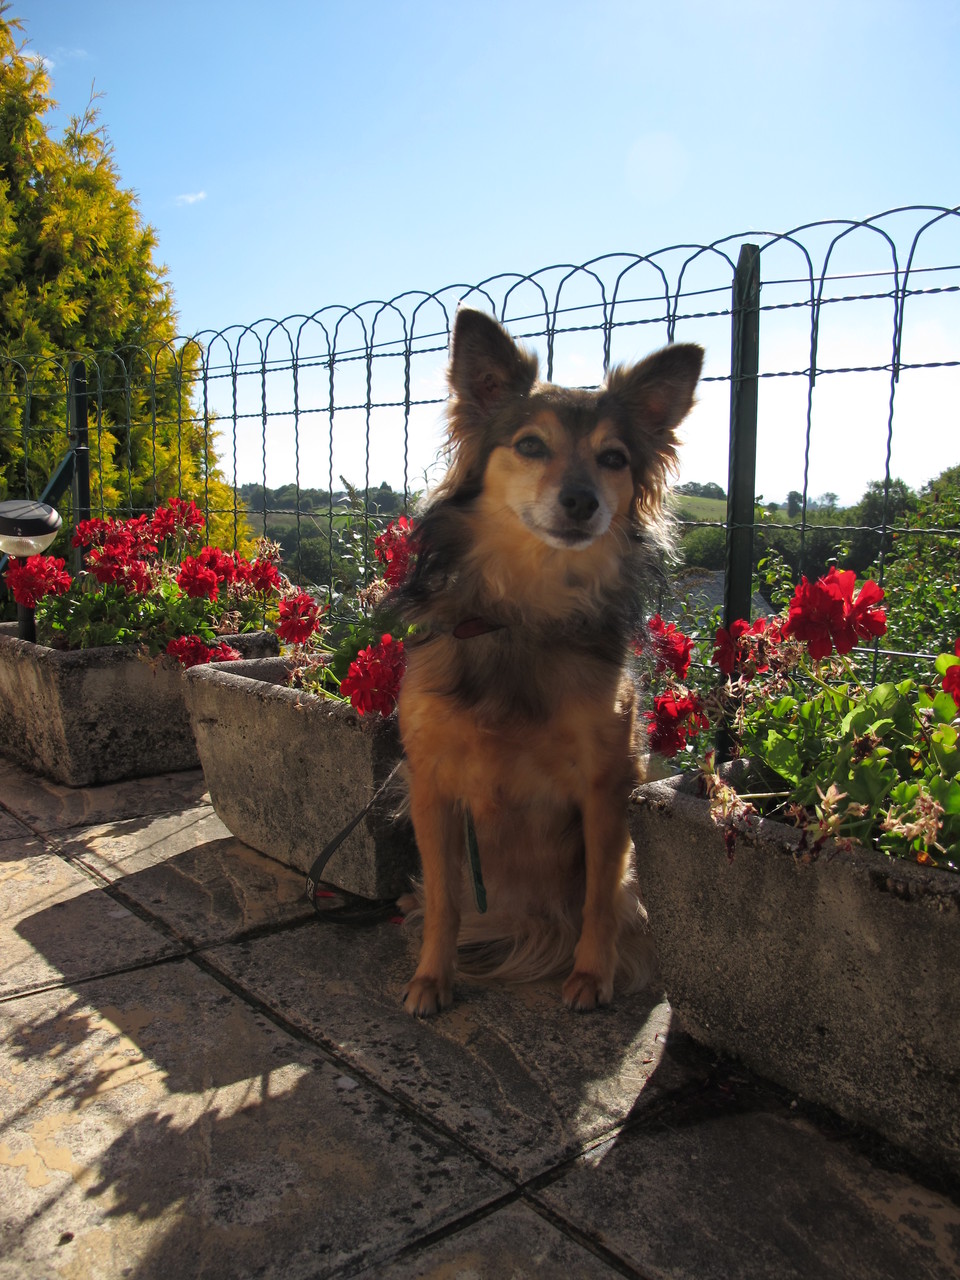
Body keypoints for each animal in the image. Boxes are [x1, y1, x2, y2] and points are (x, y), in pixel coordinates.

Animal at [394, 304, 701, 1013]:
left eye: (614, 458)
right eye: (530, 445)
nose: (583, 501)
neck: (525, 612)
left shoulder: (607, 783)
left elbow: (599, 899)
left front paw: (591, 975)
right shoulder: (431, 782)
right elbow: (444, 900)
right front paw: (431, 977)